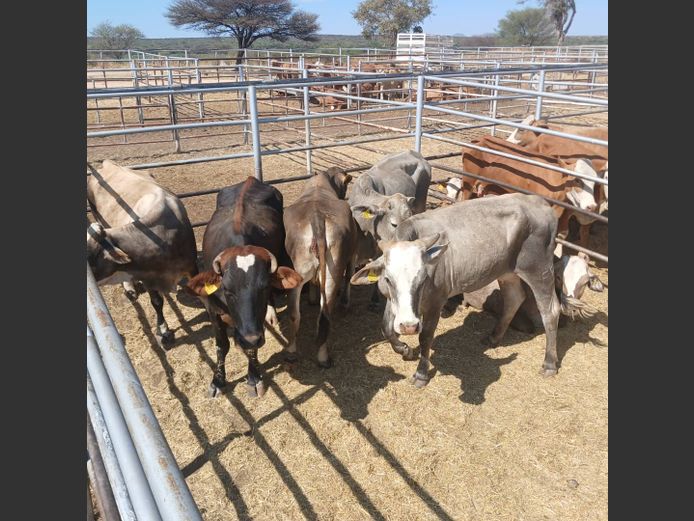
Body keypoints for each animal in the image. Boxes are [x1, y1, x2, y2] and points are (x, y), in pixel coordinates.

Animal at [87, 160, 198, 348]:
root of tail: (108, 164)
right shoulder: (147, 276)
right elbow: (157, 302)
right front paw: (164, 331)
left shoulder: (192, 266)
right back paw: (130, 288)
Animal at [185, 177, 302, 398]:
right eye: (227, 290)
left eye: (264, 288)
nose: (250, 338)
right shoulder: (212, 310)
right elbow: (221, 345)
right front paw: (218, 380)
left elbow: (251, 349)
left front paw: (254, 378)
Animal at [283, 168, 358, 368]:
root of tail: (317, 217)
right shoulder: (352, 255)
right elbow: (350, 277)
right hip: (332, 274)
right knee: (325, 315)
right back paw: (323, 357)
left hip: (299, 274)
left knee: (295, 314)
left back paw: (292, 352)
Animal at [351, 193, 562, 386]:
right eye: (388, 279)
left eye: (423, 279)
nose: (409, 327)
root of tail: (540, 202)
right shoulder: (393, 301)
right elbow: (386, 327)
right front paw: (405, 350)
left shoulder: (436, 302)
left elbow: (425, 337)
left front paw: (421, 374)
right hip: (507, 271)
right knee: (514, 298)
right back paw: (493, 337)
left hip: (539, 269)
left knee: (550, 311)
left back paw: (549, 363)